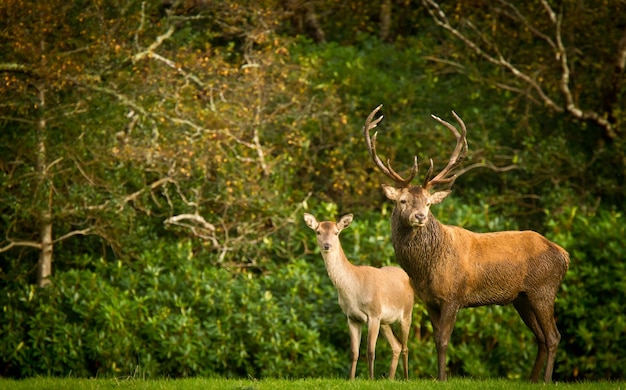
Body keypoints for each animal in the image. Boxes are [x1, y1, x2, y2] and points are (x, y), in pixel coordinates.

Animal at [304, 212, 414, 380]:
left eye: (336, 232)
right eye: (318, 232)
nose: (327, 245)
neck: (354, 292)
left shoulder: (374, 314)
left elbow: (370, 351)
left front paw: (371, 379)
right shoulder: (352, 317)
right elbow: (354, 352)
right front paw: (350, 379)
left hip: (407, 313)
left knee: (406, 347)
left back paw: (406, 379)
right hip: (385, 321)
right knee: (397, 345)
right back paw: (390, 379)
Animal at [360, 103, 572, 380]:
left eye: (428, 203)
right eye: (402, 201)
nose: (420, 216)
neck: (425, 269)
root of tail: (564, 255)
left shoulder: (453, 295)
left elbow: (443, 340)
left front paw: (442, 378)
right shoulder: (429, 300)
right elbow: (436, 339)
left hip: (543, 289)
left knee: (554, 336)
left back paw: (546, 380)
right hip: (522, 297)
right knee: (541, 338)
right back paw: (532, 380)